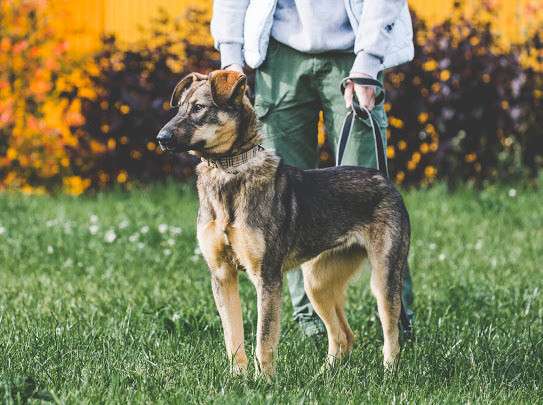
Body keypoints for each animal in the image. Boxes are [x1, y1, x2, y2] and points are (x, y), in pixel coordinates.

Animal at [157, 69, 412, 376]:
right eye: (179, 107)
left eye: (198, 108)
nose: (160, 137)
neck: (229, 171)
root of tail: (383, 177)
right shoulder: (221, 274)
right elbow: (233, 338)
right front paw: (237, 378)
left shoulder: (266, 277)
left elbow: (263, 339)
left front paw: (263, 380)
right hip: (317, 282)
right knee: (343, 335)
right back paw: (324, 375)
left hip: (384, 278)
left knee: (391, 336)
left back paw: (388, 374)